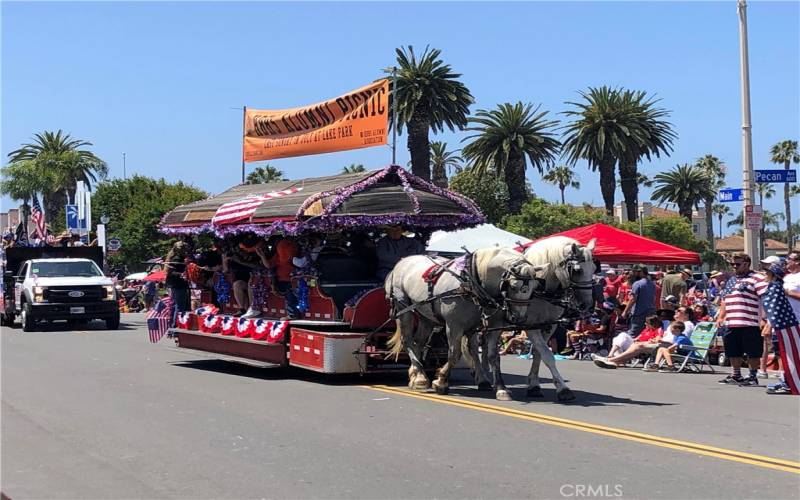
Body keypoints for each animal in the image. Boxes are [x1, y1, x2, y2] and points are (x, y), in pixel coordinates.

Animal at [386, 248, 540, 400]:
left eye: (534, 288)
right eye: (513, 286)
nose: (518, 318)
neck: (471, 281)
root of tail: (403, 261)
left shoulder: (492, 326)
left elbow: (493, 356)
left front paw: (501, 388)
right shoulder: (454, 326)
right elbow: (454, 354)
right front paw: (441, 381)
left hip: (427, 316)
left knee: (419, 343)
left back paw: (417, 375)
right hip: (403, 307)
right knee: (407, 341)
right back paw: (419, 378)